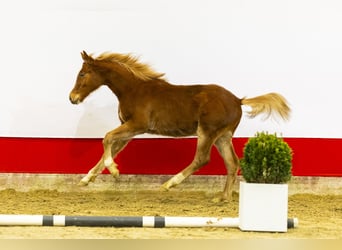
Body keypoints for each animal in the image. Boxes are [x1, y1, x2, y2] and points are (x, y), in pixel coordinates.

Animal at [69, 51, 292, 201]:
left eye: (82, 74)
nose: (72, 98)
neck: (134, 89)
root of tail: (238, 100)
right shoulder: (129, 129)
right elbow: (110, 146)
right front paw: (87, 179)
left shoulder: (137, 125)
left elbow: (107, 137)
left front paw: (114, 170)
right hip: (223, 136)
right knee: (232, 163)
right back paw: (223, 198)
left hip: (207, 132)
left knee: (202, 159)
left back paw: (169, 184)